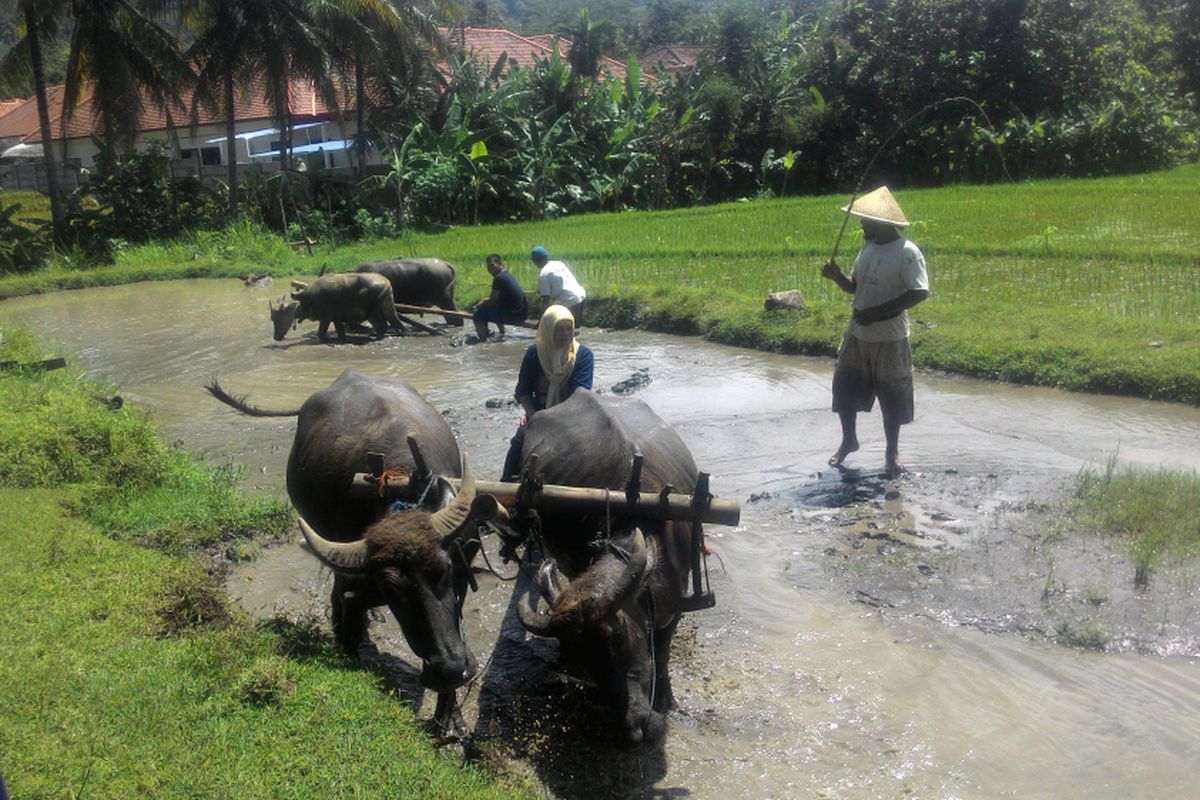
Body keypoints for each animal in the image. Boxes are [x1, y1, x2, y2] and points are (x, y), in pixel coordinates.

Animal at [270, 272, 405, 340]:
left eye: (278, 318)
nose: (276, 337)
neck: (307, 299)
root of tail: (385, 282)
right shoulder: (336, 319)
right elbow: (340, 333)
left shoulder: (326, 318)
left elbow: (321, 334)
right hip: (387, 306)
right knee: (395, 322)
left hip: (371, 312)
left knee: (382, 325)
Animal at [511, 391, 700, 748]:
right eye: (584, 657)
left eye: (618, 639)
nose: (635, 727)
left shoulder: (675, 608)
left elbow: (663, 653)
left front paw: (667, 699)